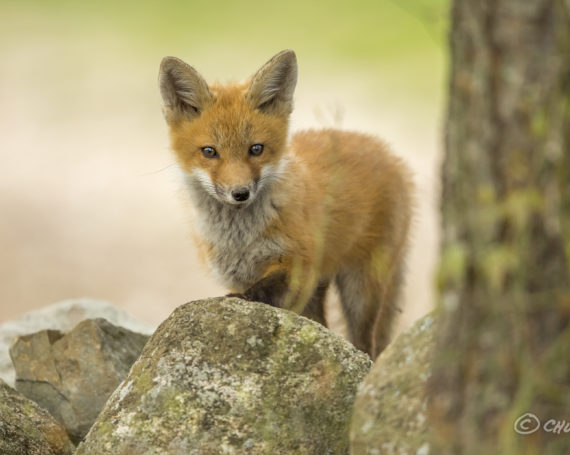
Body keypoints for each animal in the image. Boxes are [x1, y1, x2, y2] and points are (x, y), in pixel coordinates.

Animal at [158, 50, 410, 360]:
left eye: (256, 149)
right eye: (209, 152)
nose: (240, 193)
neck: (241, 239)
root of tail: (389, 152)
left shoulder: (300, 263)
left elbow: (263, 289)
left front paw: (242, 300)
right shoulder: (238, 274)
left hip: (361, 289)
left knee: (365, 342)